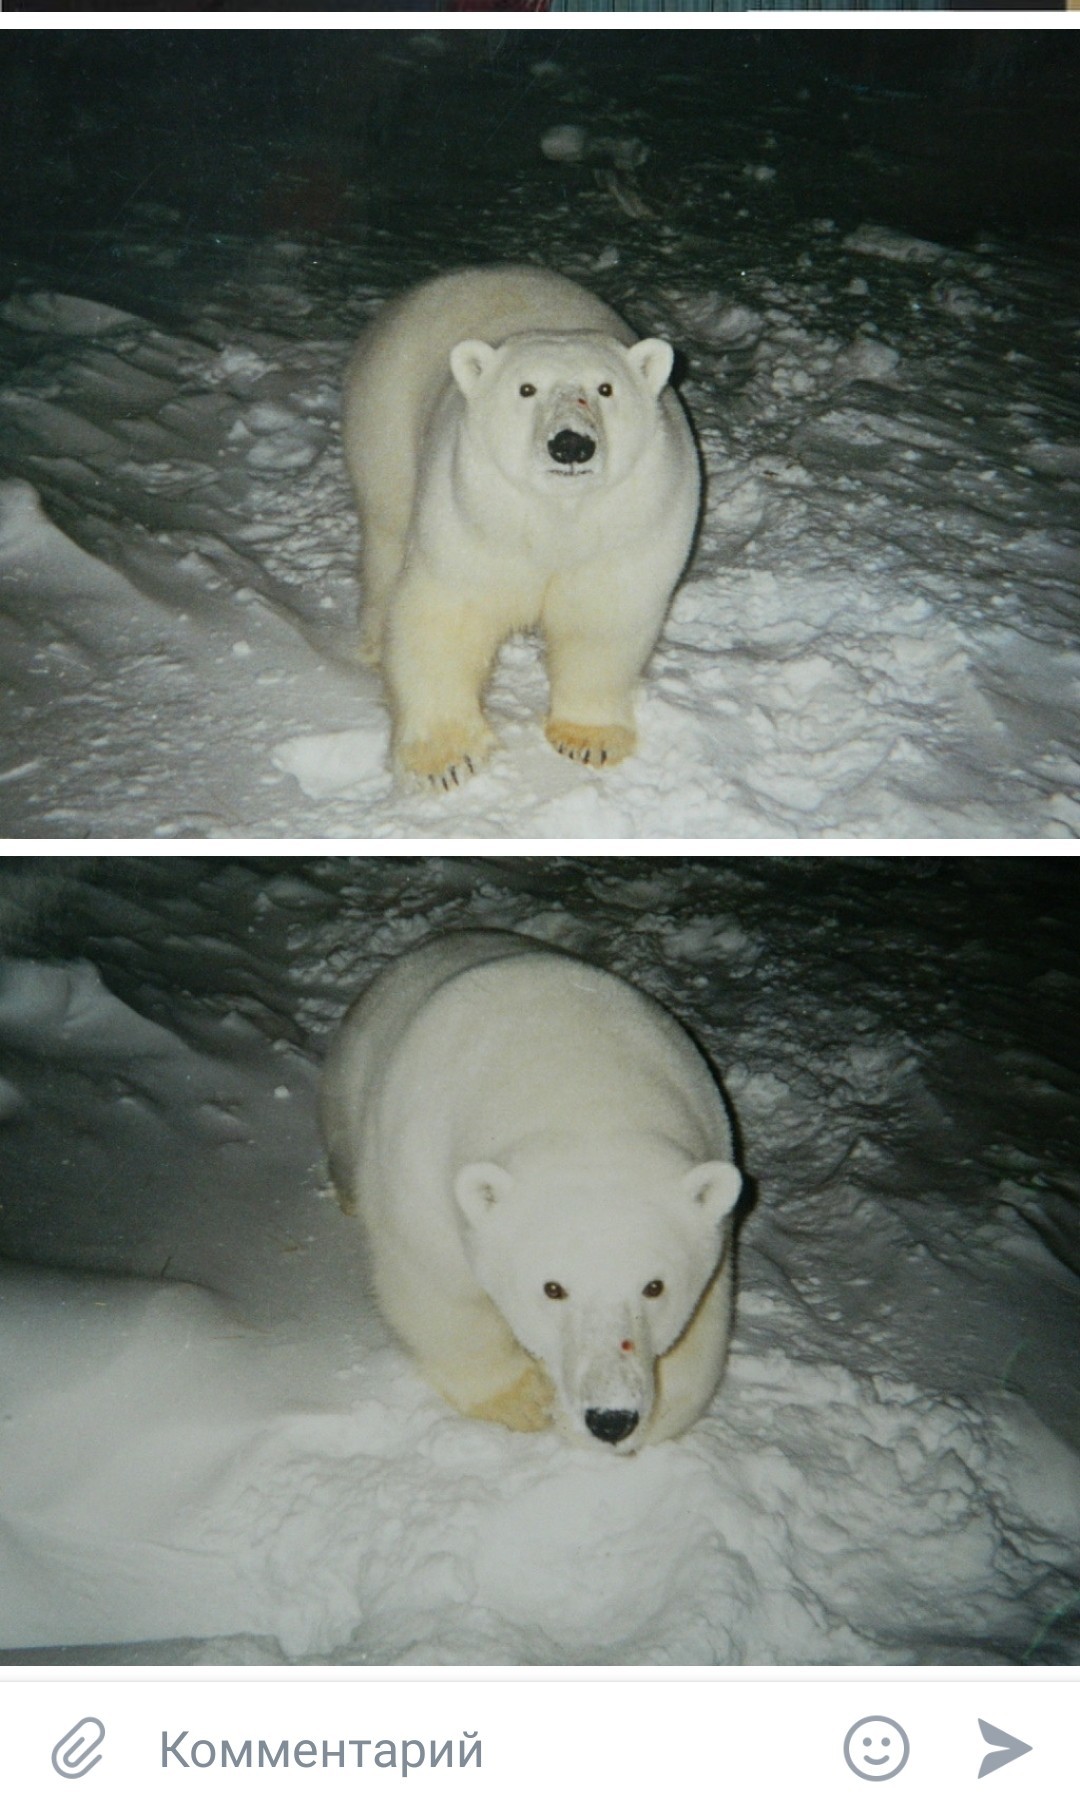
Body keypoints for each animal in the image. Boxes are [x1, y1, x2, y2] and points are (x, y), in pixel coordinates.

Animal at [319, 929, 744, 1452]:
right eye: (553, 1288)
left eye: (654, 1285)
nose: (610, 1418)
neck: (585, 1092)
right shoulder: (420, 1167)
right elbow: (438, 1289)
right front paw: (524, 1400)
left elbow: (703, 1322)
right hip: (351, 1075)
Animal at [343, 266, 704, 787]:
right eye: (526, 389)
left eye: (606, 389)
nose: (571, 444)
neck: (557, 515)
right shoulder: (474, 518)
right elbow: (443, 616)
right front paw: (445, 760)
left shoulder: (627, 527)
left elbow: (601, 621)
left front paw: (590, 740)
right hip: (385, 411)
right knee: (386, 529)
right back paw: (373, 641)